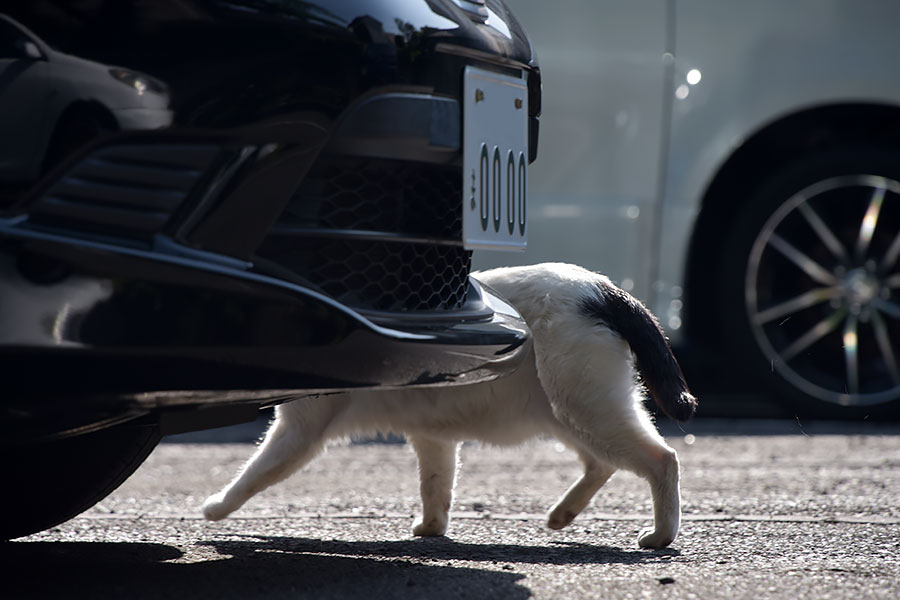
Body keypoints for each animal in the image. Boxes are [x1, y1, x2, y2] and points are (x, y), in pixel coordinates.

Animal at [204, 262, 696, 548]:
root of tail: (604, 287)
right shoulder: (432, 437)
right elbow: (435, 488)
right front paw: (432, 529)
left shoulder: (299, 433)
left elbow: (252, 476)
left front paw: (214, 509)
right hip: (570, 415)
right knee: (603, 463)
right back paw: (562, 515)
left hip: (583, 408)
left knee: (662, 459)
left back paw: (659, 535)